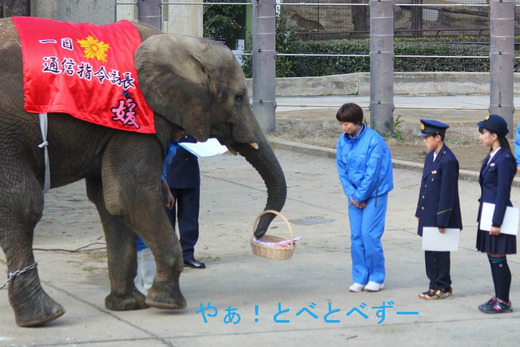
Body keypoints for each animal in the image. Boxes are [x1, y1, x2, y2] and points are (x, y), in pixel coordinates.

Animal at [0, 17, 288, 328]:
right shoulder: (138, 118)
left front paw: (128, 305)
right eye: (238, 97)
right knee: (22, 205)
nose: (258, 233)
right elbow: (129, 195)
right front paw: (167, 302)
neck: (179, 42)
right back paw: (42, 316)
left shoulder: (116, 129)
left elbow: (110, 201)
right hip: (8, 136)